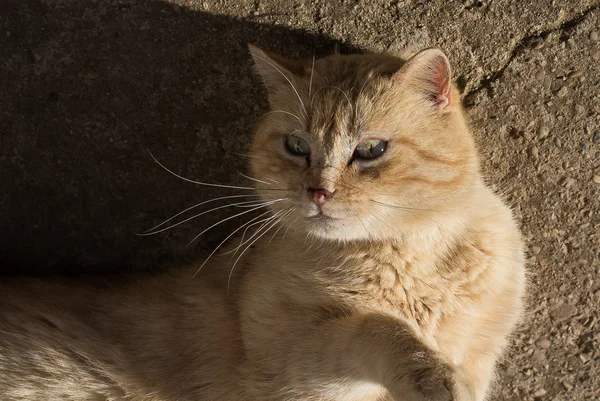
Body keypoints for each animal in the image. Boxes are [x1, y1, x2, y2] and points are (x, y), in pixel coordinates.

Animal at [0, 44, 524, 400]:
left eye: (371, 149)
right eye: (296, 146)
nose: (318, 191)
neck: (412, 260)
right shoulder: (296, 367)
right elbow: (377, 330)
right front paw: (431, 374)